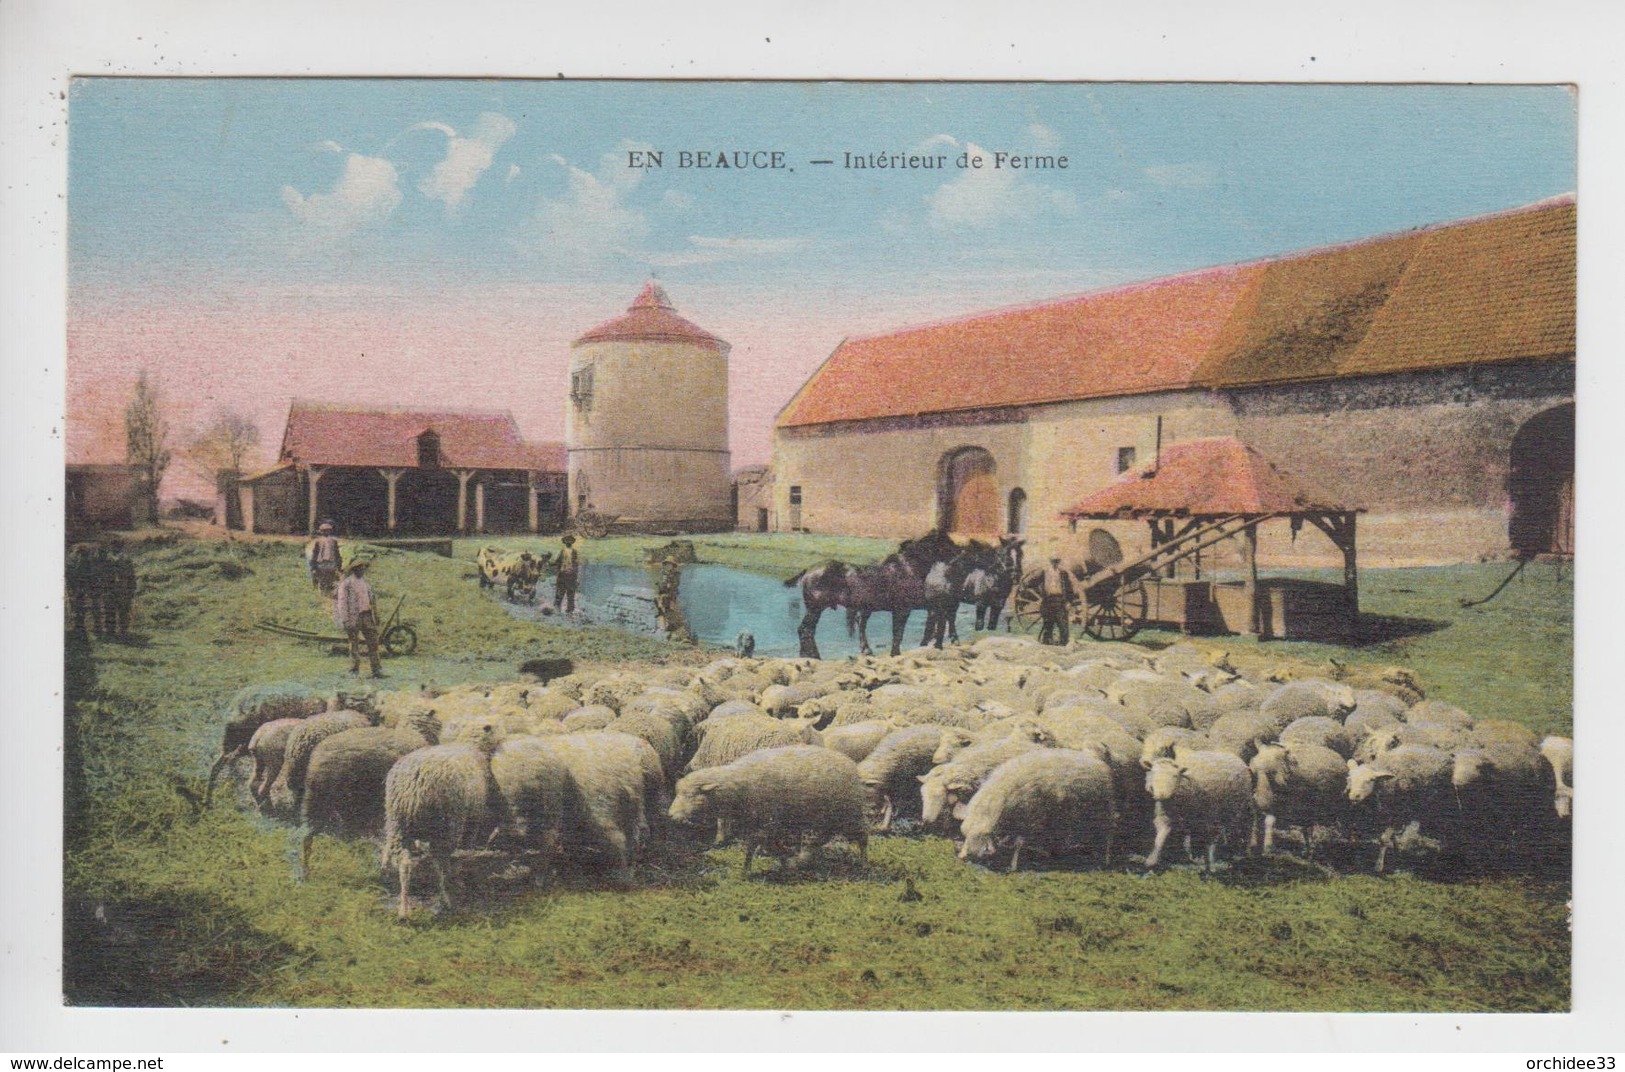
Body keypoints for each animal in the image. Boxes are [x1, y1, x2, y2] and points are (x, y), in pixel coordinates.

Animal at [383, 714, 503, 916]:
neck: (472, 746)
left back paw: (403, 909)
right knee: (439, 862)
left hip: (397, 822)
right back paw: (446, 898)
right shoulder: (474, 814)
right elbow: (470, 839)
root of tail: (414, 788)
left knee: (405, 862)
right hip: (448, 823)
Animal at [666, 743, 871, 870]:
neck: (739, 782)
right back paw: (803, 859)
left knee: (862, 837)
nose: (671, 816)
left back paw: (863, 862)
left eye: (691, 796)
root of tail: (850, 764)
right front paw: (756, 862)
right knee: (819, 839)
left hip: (848, 813)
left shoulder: (767, 821)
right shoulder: (758, 823)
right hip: (823, 818)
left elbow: (764, 845)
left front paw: (775, 860)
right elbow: (756, 845)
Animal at [780, 529, 955, 656]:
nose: (959, 554)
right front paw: (895, 653)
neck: (908, 567)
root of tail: (808, 571)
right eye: (947, 543)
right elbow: (898, 633)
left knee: (808, 630)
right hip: (815, 608)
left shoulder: (918, 605)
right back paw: (812, 655)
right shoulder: (902, 609)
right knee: (805, 630)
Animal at [962, 743, 1118, 870]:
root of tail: (1097, 759)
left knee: (1109, 831)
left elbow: (1020, 842)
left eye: (980, 836)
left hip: (1102, 807)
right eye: (965, 835)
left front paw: (1014, 865)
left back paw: (1106, 859)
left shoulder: (1031, 816)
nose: (964, 857)